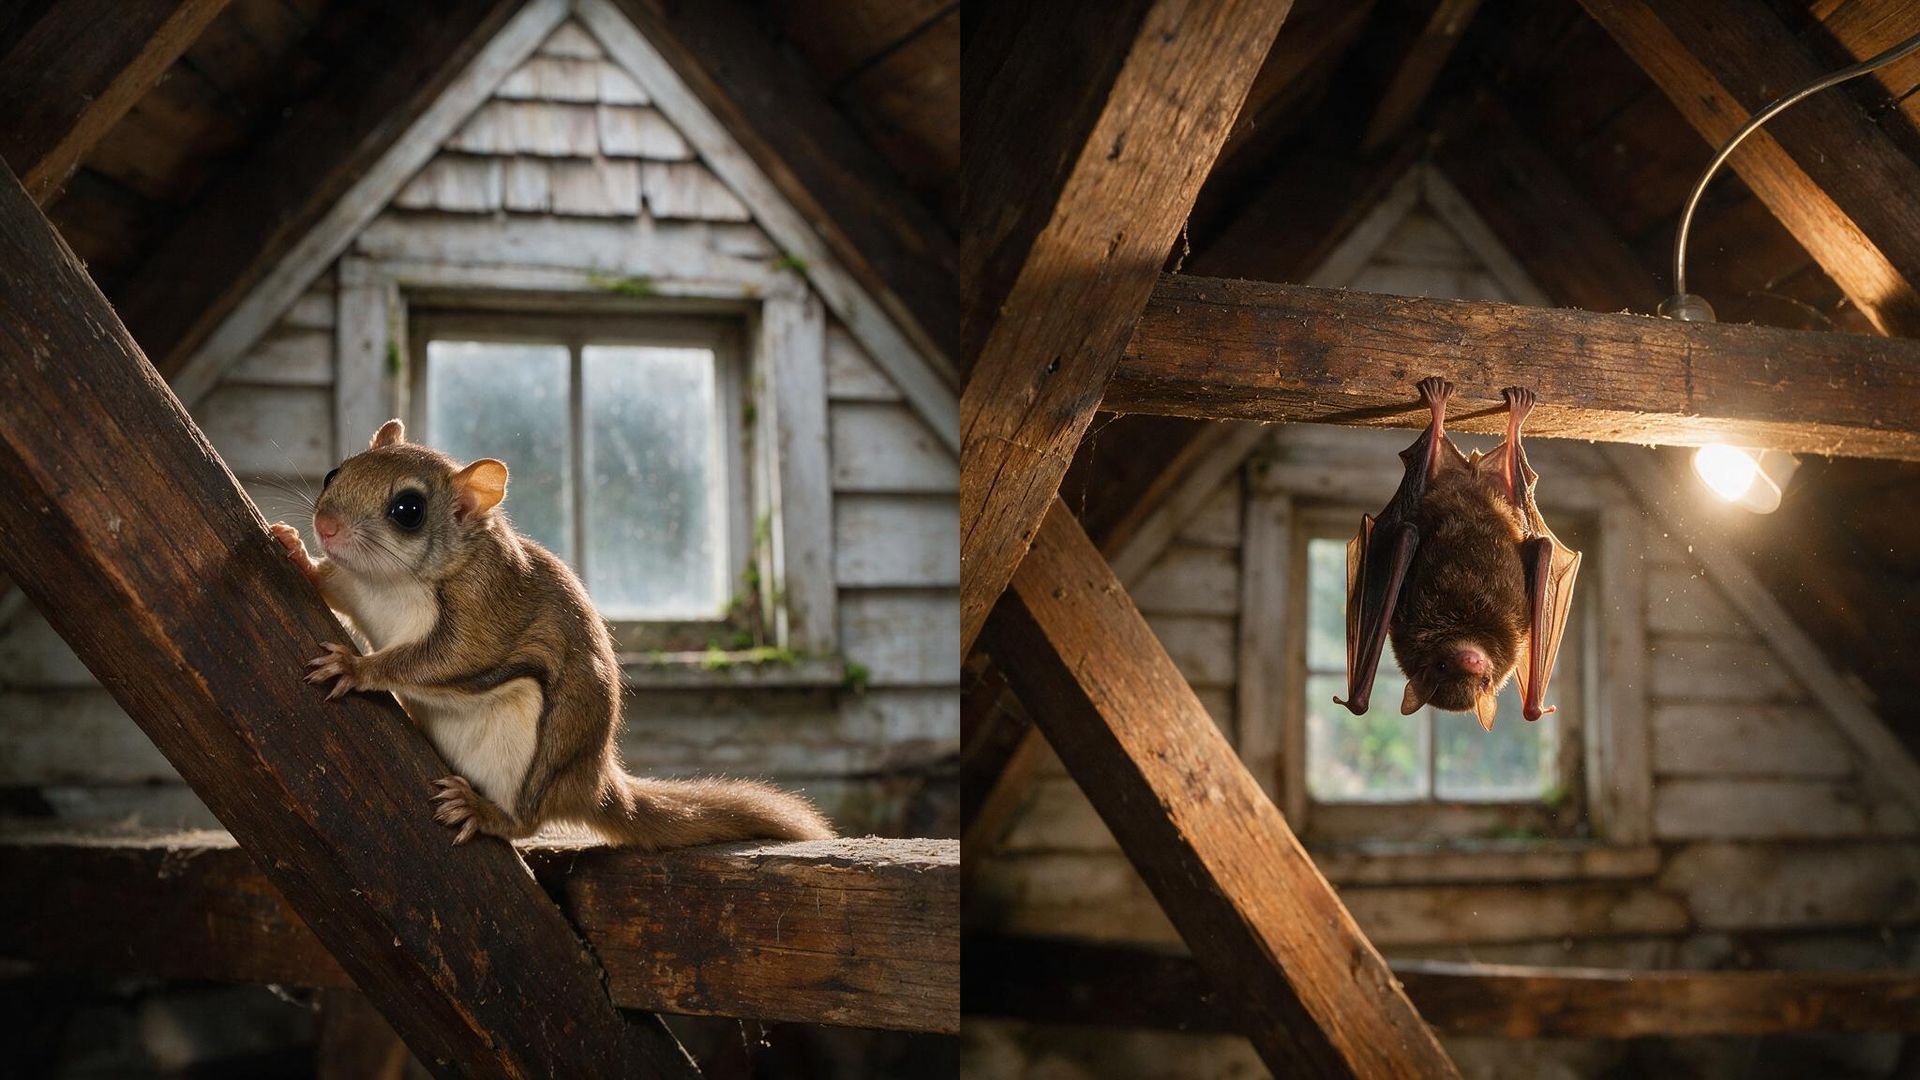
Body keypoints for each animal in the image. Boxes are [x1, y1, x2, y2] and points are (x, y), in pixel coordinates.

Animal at [269, 419, 835, 849]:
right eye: (334, 472)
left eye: (407, 510)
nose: (326, 526)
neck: (387, 583)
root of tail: (590, 784)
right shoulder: (356, 587)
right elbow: (333, 585)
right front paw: (294, 547)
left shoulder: (484, 610)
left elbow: (443, 659)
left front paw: (357, 667)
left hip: (532, 754)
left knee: (526, 822)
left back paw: (484, 812)